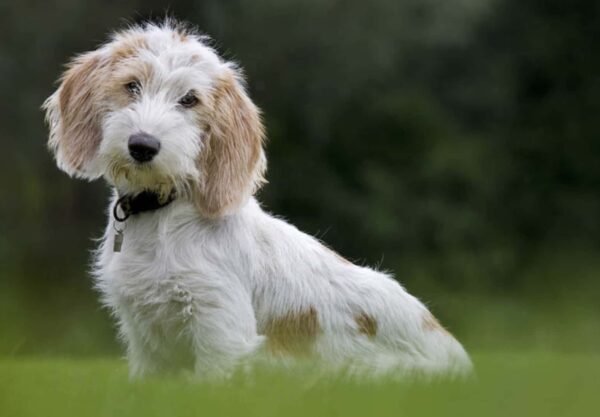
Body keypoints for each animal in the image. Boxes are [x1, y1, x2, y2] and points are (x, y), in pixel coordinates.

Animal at [44, 21, 472, 378]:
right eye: (132, 85)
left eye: (190, 100)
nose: (143, 146)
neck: (162, 216)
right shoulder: (147, 346)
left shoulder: (220, 331)